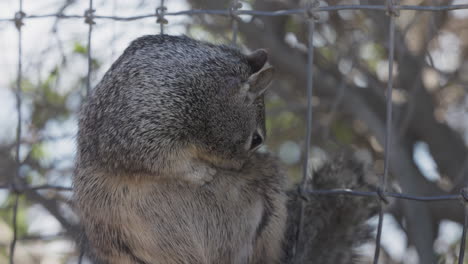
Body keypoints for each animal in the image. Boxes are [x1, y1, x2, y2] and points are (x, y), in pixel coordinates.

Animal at [74, 35, 380, 264]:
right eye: (256, 139)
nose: (238, 167)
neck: (200, 87)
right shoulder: (142, 124)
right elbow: (160, 160)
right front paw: (200, 173)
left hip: (271, 208)